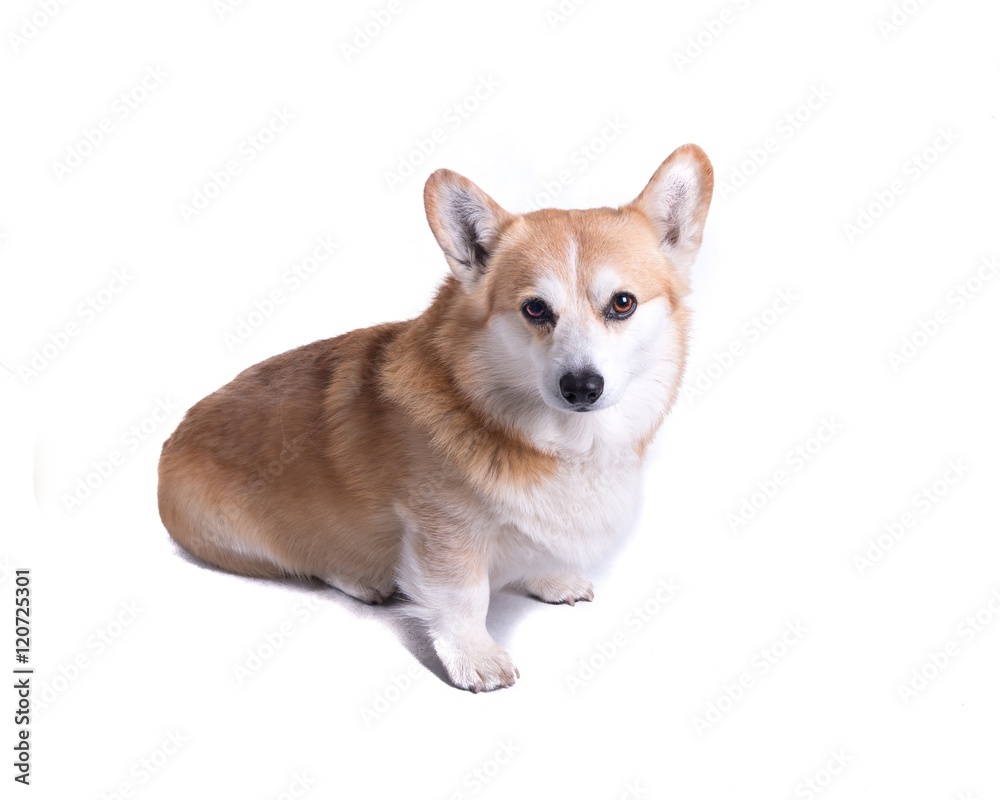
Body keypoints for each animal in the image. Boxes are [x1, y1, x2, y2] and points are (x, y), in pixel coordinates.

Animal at [158, 142, 712, 688]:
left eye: (623, 303)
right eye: (535, 309)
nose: (581, 387)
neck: (558, 440)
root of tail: (172, 438)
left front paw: (550, 579)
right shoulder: (444, 530)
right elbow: (463, 598)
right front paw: (476, 658)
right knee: (307, 560)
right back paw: (361, 579)